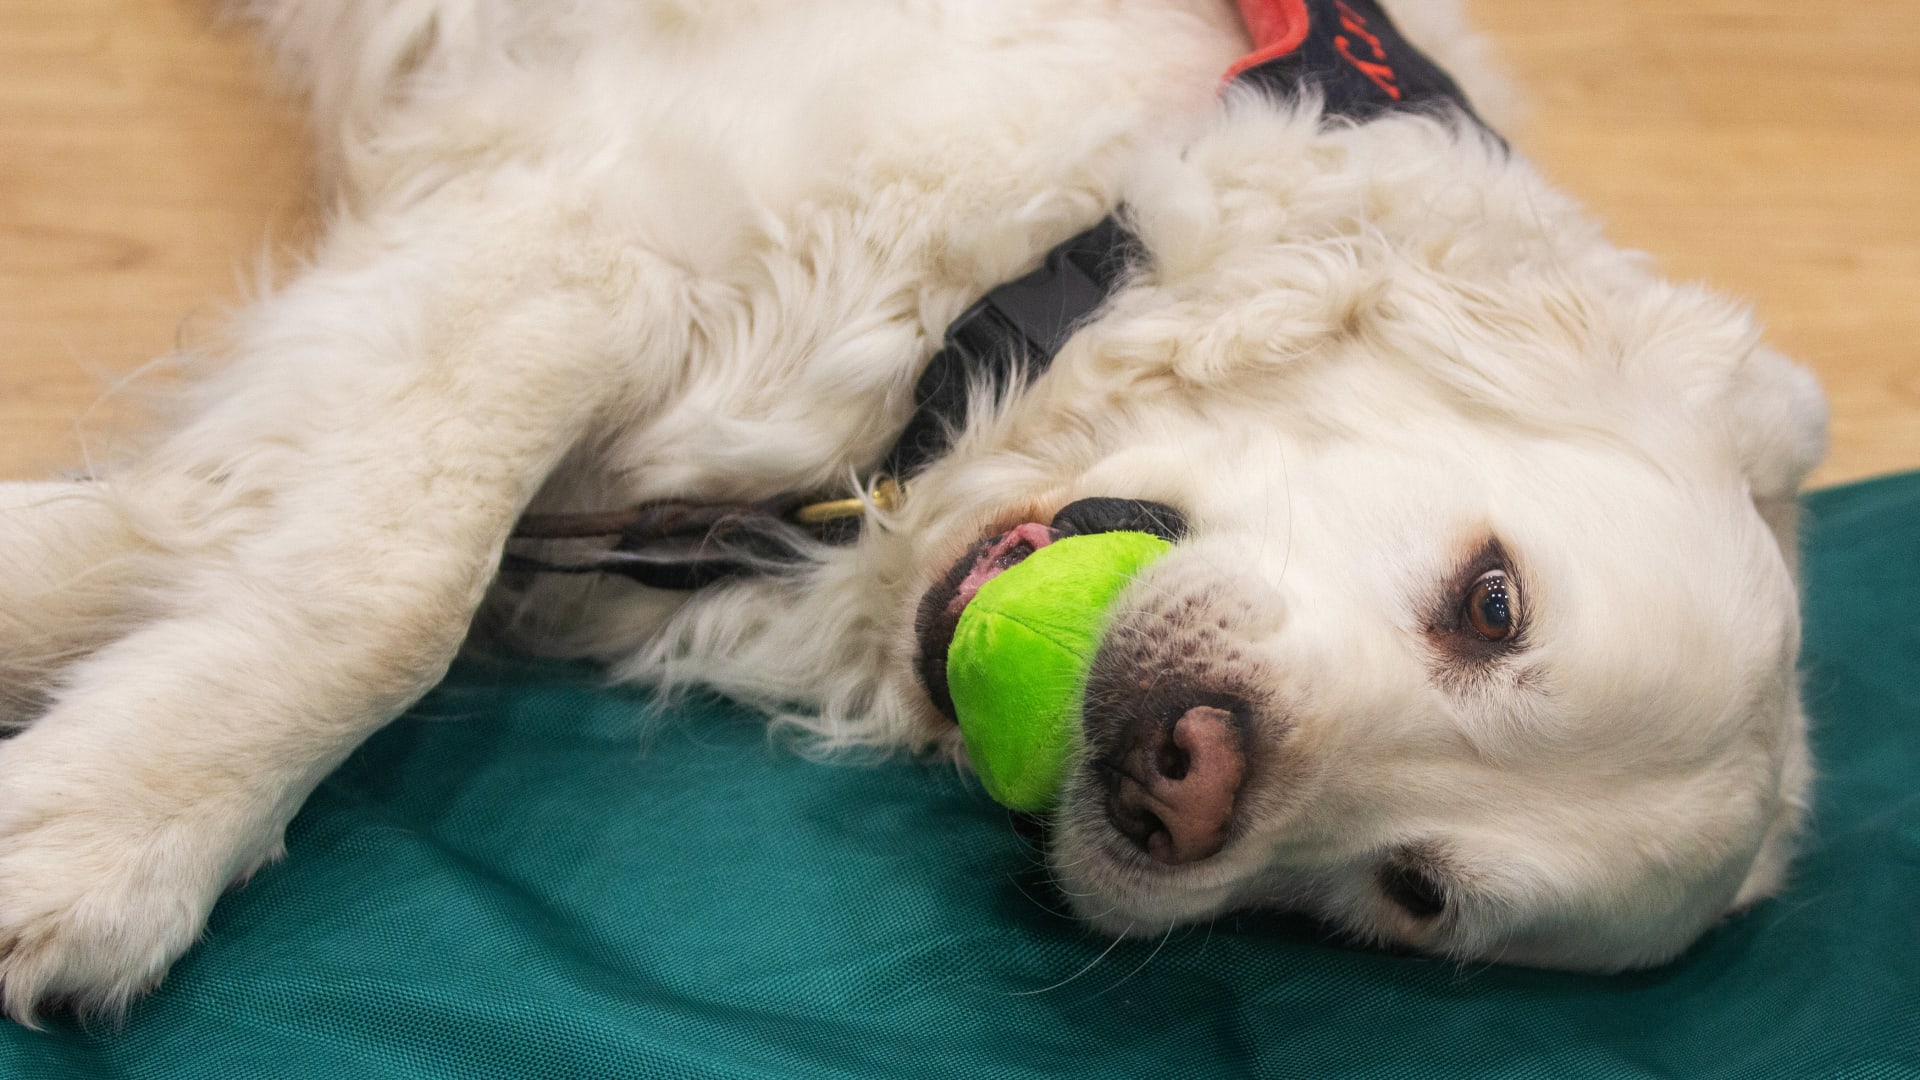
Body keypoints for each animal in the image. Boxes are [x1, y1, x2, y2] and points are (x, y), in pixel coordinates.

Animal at [0, 0, 1827, 1014]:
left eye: (1415, 897)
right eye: (1492, 603)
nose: (1182, 777)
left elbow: (192, 530)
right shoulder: (579, 238)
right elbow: (389, 590)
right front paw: (107, 841)